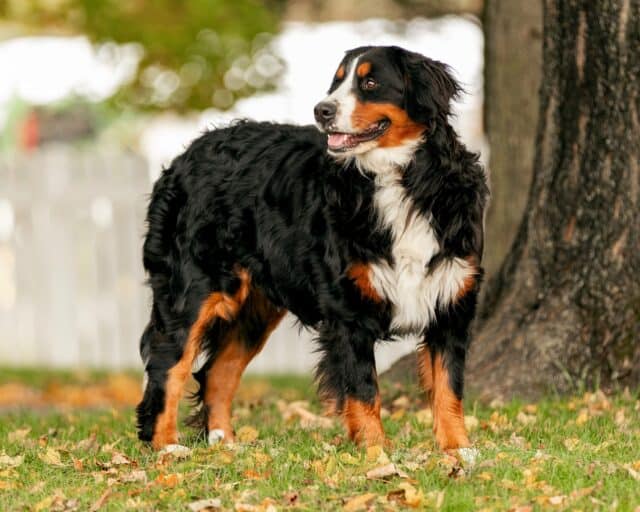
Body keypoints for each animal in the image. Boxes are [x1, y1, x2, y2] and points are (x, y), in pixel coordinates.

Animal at [138, 46, 490, 458]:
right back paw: (166, 446)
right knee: (169, 363)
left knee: (217, 372)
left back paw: (226, 444)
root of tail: (187, 154)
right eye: (336, 82)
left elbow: (449, 386)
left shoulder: (450, 301)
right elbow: (363, 390)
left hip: (254, 310)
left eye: (370, 82)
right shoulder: (349, 312)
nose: (322, 110)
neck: (397, 180)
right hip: (193, 289)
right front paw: (376, 453)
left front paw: (458, 449)